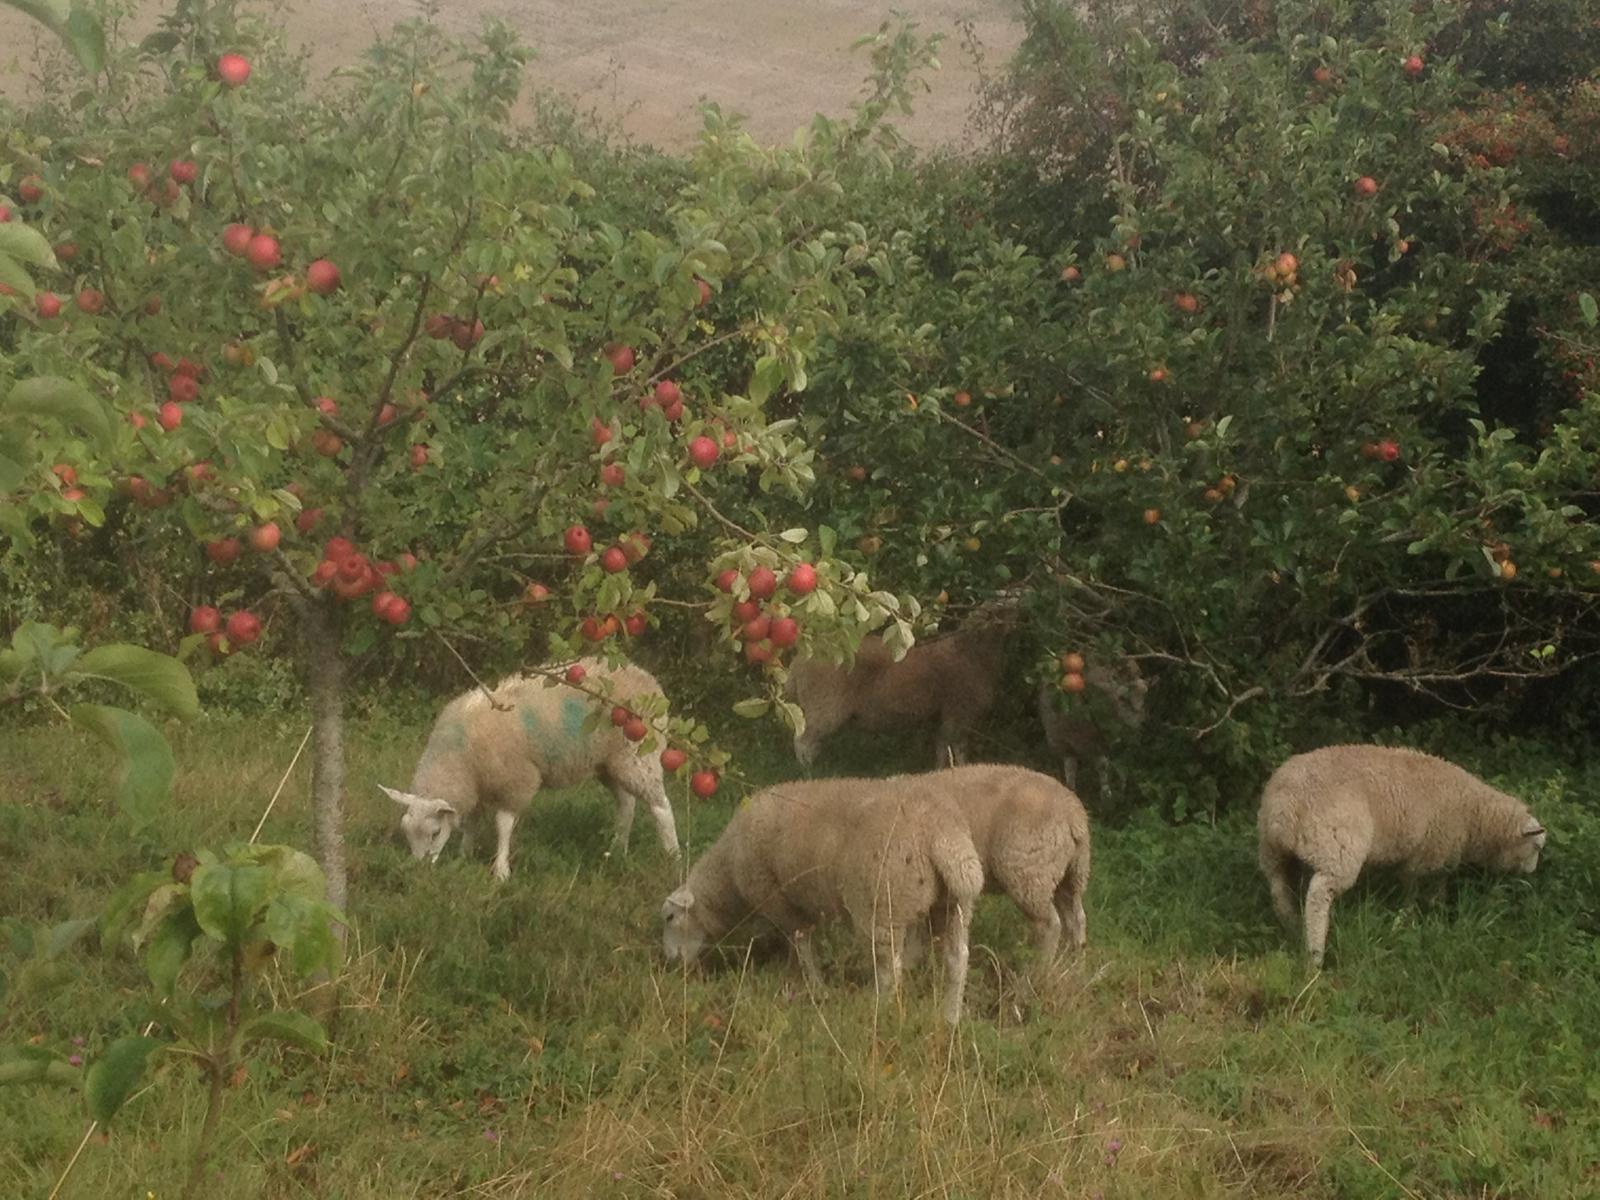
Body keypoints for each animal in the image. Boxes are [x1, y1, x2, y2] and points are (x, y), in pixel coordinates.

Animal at [380, 656, 680, 880]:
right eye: (406, 832)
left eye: (434, 833)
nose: (419, 872)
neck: (460, 757)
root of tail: (646, 677)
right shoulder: (477, 786)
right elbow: (471, 822)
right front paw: (465, 854)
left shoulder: (516, 781)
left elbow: (503, 825)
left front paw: (501, 871)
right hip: (609, 762)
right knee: (626, 803)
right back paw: (617, 850)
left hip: (639, 754)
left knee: (661, 806)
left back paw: (672, 855)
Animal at [660, 775, 985, 1024]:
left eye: (670, 917)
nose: (670, 963)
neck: (728, 873)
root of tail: (943, 835)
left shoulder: (777, 900)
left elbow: (801, 942)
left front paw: (814, 985)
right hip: (954, 904)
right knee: (957, 959)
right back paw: (951, 1017)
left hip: (881, 902)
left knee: (889, 967)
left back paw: (879, 1008)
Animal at [785, 609, 1013, 769]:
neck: (971, 651)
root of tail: (799, 662)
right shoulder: (958, 712)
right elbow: (957, 749)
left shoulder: (941, 716)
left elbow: (942, 748)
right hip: (825, 705)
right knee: (803, 741)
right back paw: (809, 772)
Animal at [1035, 655, 1149, 797]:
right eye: (1122, 698)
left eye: (1144, 699)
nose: (1141, 723)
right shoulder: (1063, 742)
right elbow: (1070, 768)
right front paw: (1070, 790)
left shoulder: (1101, 742)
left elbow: (1102, 765)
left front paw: (1106, 794)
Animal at [1257, 744, 1547, 967]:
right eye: (1536, 847)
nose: (1532, 873)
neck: (1475, 817)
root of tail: (1286, 805)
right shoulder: (1429, 855)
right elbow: (1420, 891)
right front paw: (1416, 918)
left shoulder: (1424, 858)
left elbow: (1424, 886)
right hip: (1337, 849)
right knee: (1318, 895)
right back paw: (1315, 954)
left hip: (1273, 852)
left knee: (1279, 891)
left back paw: (1294, 927)